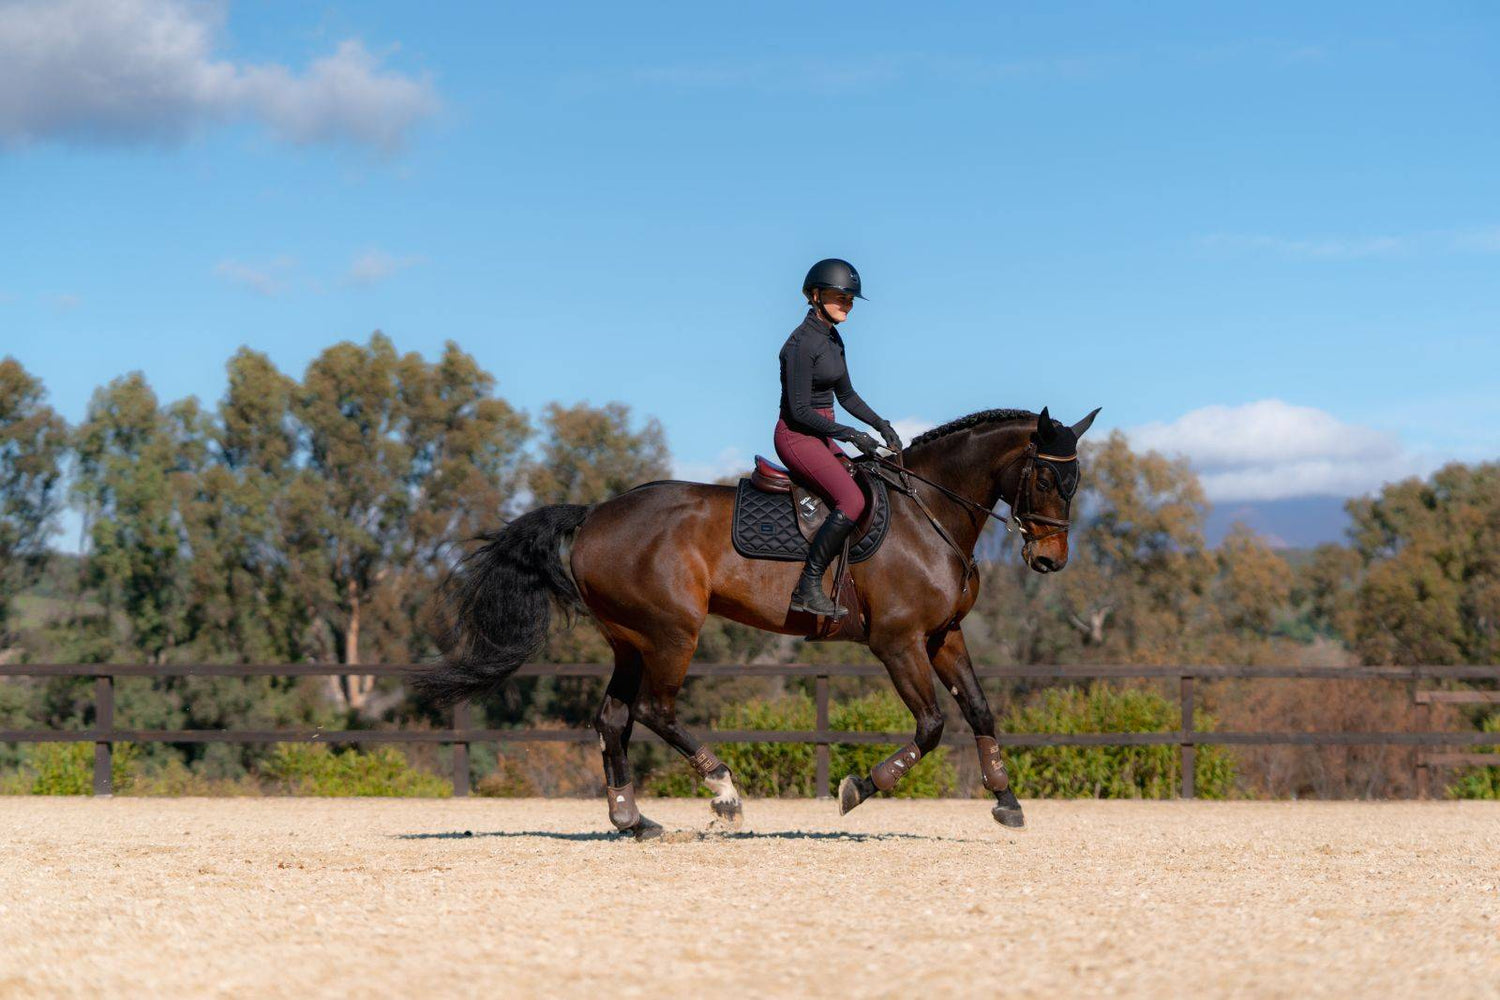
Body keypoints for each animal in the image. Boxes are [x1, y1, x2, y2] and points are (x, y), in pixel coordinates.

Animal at [417, 404, 1098, 839]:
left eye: (1076, 478)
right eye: (1044, 474)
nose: (1049, 559)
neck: (928, 510)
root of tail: (593, 516)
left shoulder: (941, 636)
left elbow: (980, 710)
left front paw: (1006, 800)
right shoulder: (898, 642)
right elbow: (930, 727)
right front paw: (858, 788)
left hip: (630, 641)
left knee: (614, 719)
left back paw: (633, 820)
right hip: (672, 634)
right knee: (655, 711)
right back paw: (725, 794)